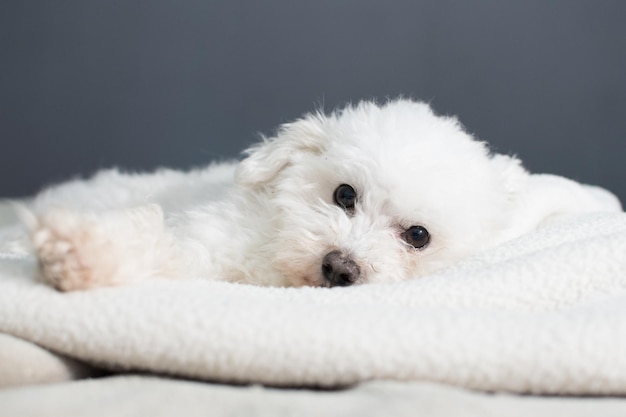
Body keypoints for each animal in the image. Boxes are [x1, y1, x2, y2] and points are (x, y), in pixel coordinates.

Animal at [29, 99, 620, 290]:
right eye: (344, 195)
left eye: (418, 235)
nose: (340, 267)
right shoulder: (208, 241)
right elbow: (153, 246)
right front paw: (77, 253)